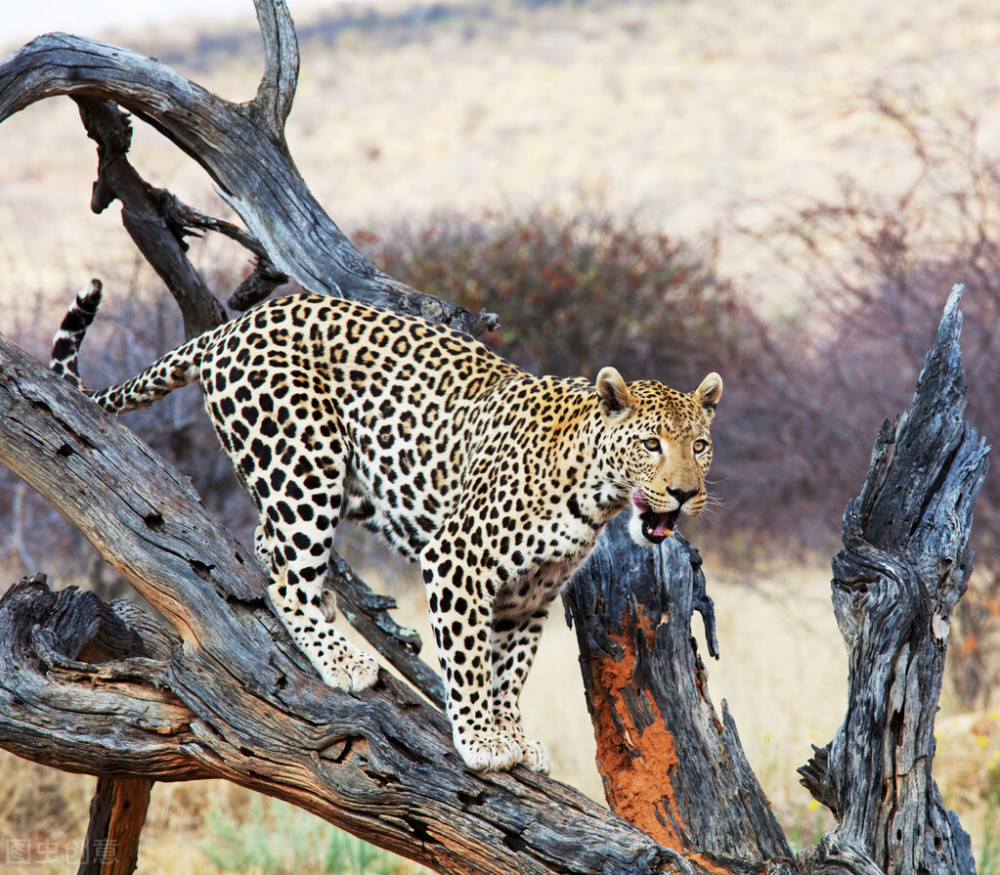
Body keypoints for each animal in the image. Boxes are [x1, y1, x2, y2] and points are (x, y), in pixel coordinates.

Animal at [50, 278, 724, 772]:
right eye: (652, 445)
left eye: (700, 445)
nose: (686, 493)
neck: (594, 493)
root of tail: (236, 325)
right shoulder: (459, 558)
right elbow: (470, 662)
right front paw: (480, 740)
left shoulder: (531, 594)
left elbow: (510, 671)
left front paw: (513, 735)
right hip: (303, 466)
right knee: (286, 578)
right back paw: (342, 657)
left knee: (275, 549)